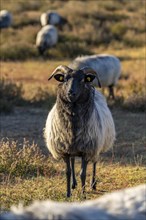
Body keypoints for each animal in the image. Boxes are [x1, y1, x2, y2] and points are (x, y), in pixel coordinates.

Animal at [43, 65, 115, 198]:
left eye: (82, 80)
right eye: (64, 79)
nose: (71, 93)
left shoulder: (87, 150)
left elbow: (83, 173)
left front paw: (83, 194)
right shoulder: (65, 150)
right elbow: (67, 172)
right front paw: (68, 193)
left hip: (96, 146)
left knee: (95, 163)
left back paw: (93, 184)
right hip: (73, 148)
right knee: (72, 162)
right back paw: (73, 184)